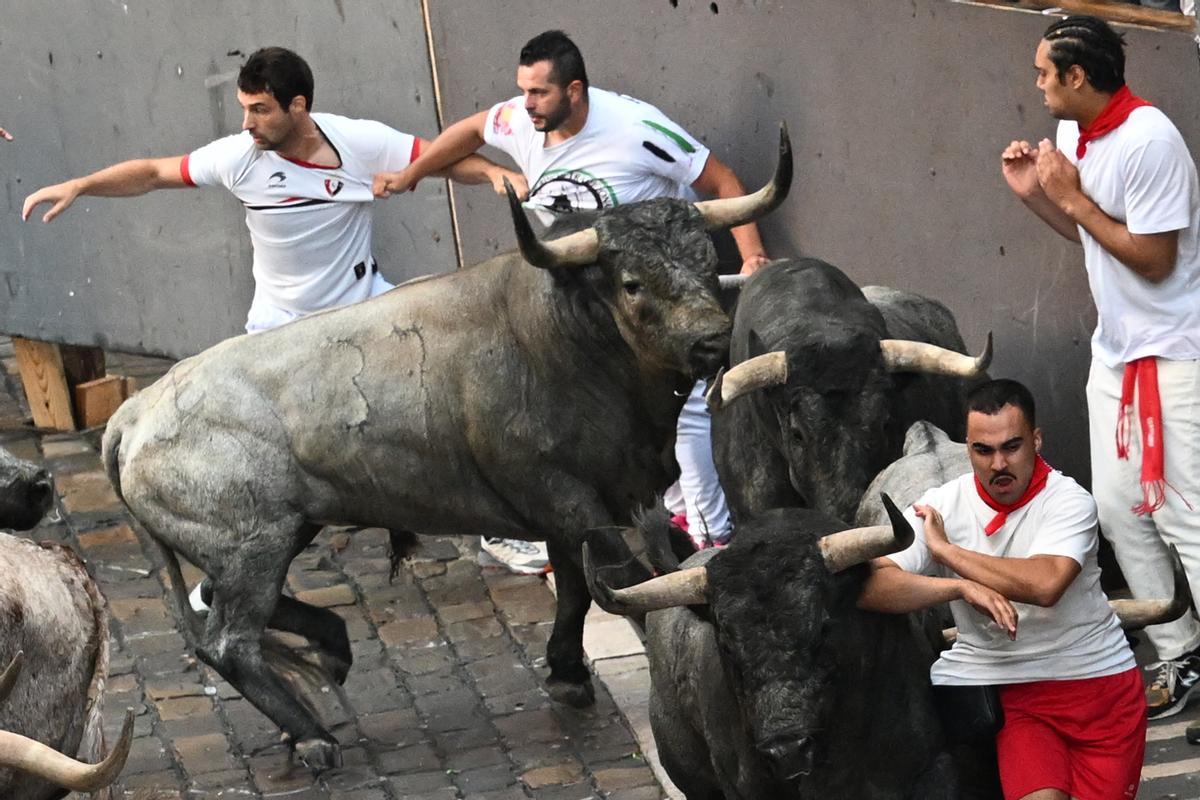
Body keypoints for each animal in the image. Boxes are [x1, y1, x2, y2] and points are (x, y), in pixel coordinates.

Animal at [98, 130, 792, 767]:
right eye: (630, 282)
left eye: (705, 261)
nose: (711, 341)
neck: (563, 332)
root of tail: (135, 412)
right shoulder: (564, 495)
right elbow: (618, 578)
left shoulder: (595, 499)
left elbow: (576, 582)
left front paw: (567, 671)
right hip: (253, 547)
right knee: (228, 640)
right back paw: (315, 735)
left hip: (277, 534)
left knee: (224, 606)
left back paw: (333, 650)